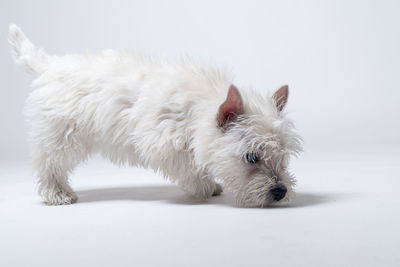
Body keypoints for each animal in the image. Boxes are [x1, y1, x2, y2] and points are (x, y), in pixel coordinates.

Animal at [7, 25, 302, 208]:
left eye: (283, 157)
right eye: (252, 157)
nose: (280, 191)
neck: (198, 107)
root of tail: (50, 66)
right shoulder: (164, 144)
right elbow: (190, 167)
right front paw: (204, 187)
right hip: (60, 136)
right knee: (49, 165)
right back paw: (57, 194)